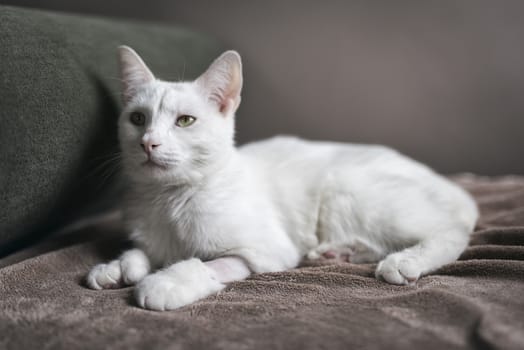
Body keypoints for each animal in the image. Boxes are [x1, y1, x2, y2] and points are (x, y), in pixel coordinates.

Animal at [86, 45, 478, 310]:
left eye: (185, 121)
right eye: (138, 118)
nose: (148, 142)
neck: (169, 199)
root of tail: (450, 187)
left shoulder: (264, 252)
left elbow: (208, 263)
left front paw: (165, 283)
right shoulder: (151, 237)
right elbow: (139, 251)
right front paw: (117, 268)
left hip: (347, 189)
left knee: (449, 232)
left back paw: (403, 262)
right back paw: (337, 252)